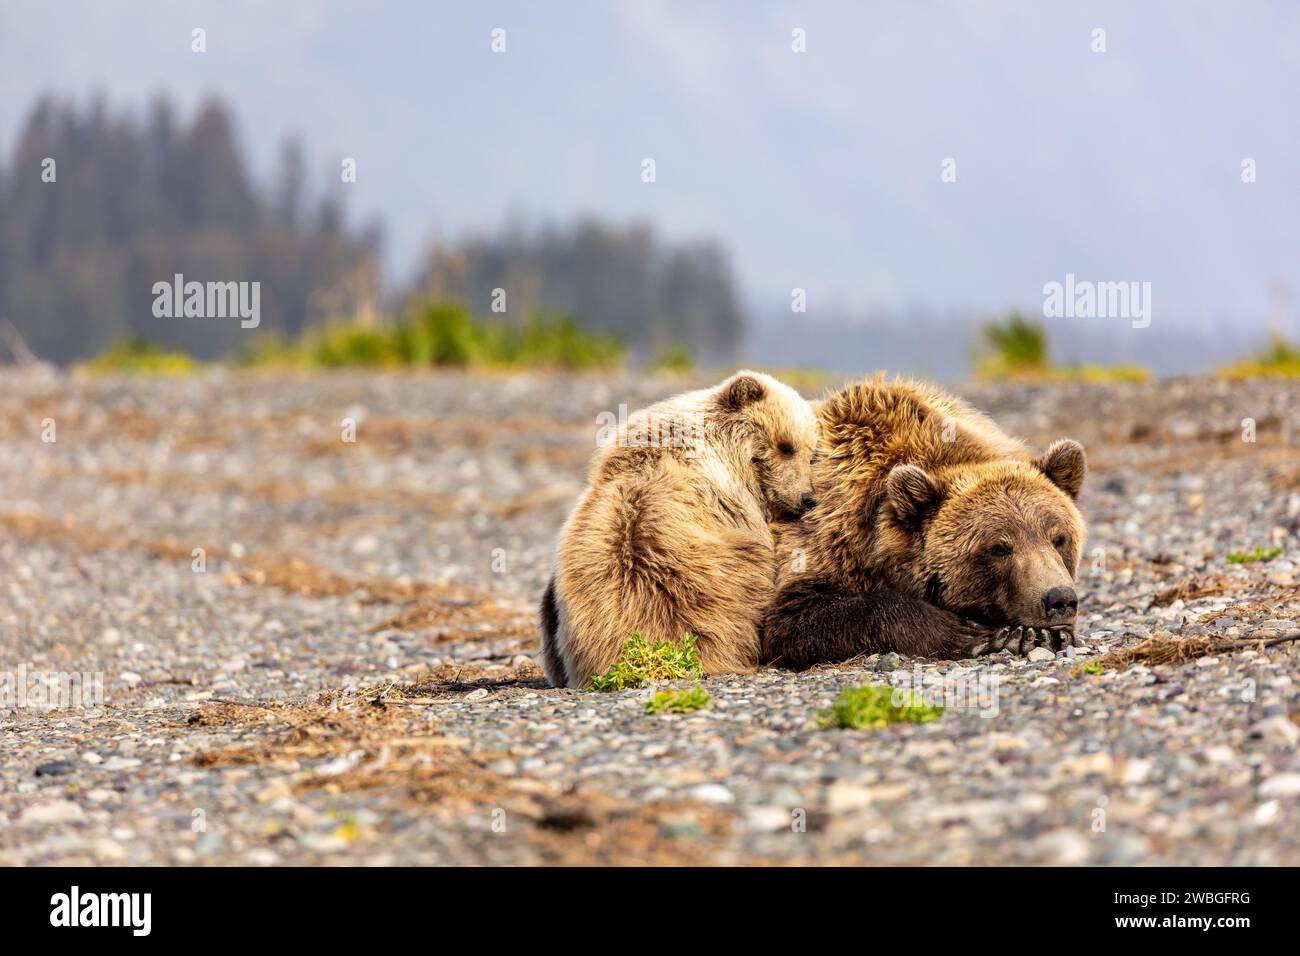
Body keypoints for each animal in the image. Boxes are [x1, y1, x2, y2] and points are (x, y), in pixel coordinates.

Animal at [760, 375, 1086, 669]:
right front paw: (975, 634)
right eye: (999, 548)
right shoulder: (825, 536)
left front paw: (1043, 636)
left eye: (1058, 538)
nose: (1060, 598)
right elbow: (795, 617)